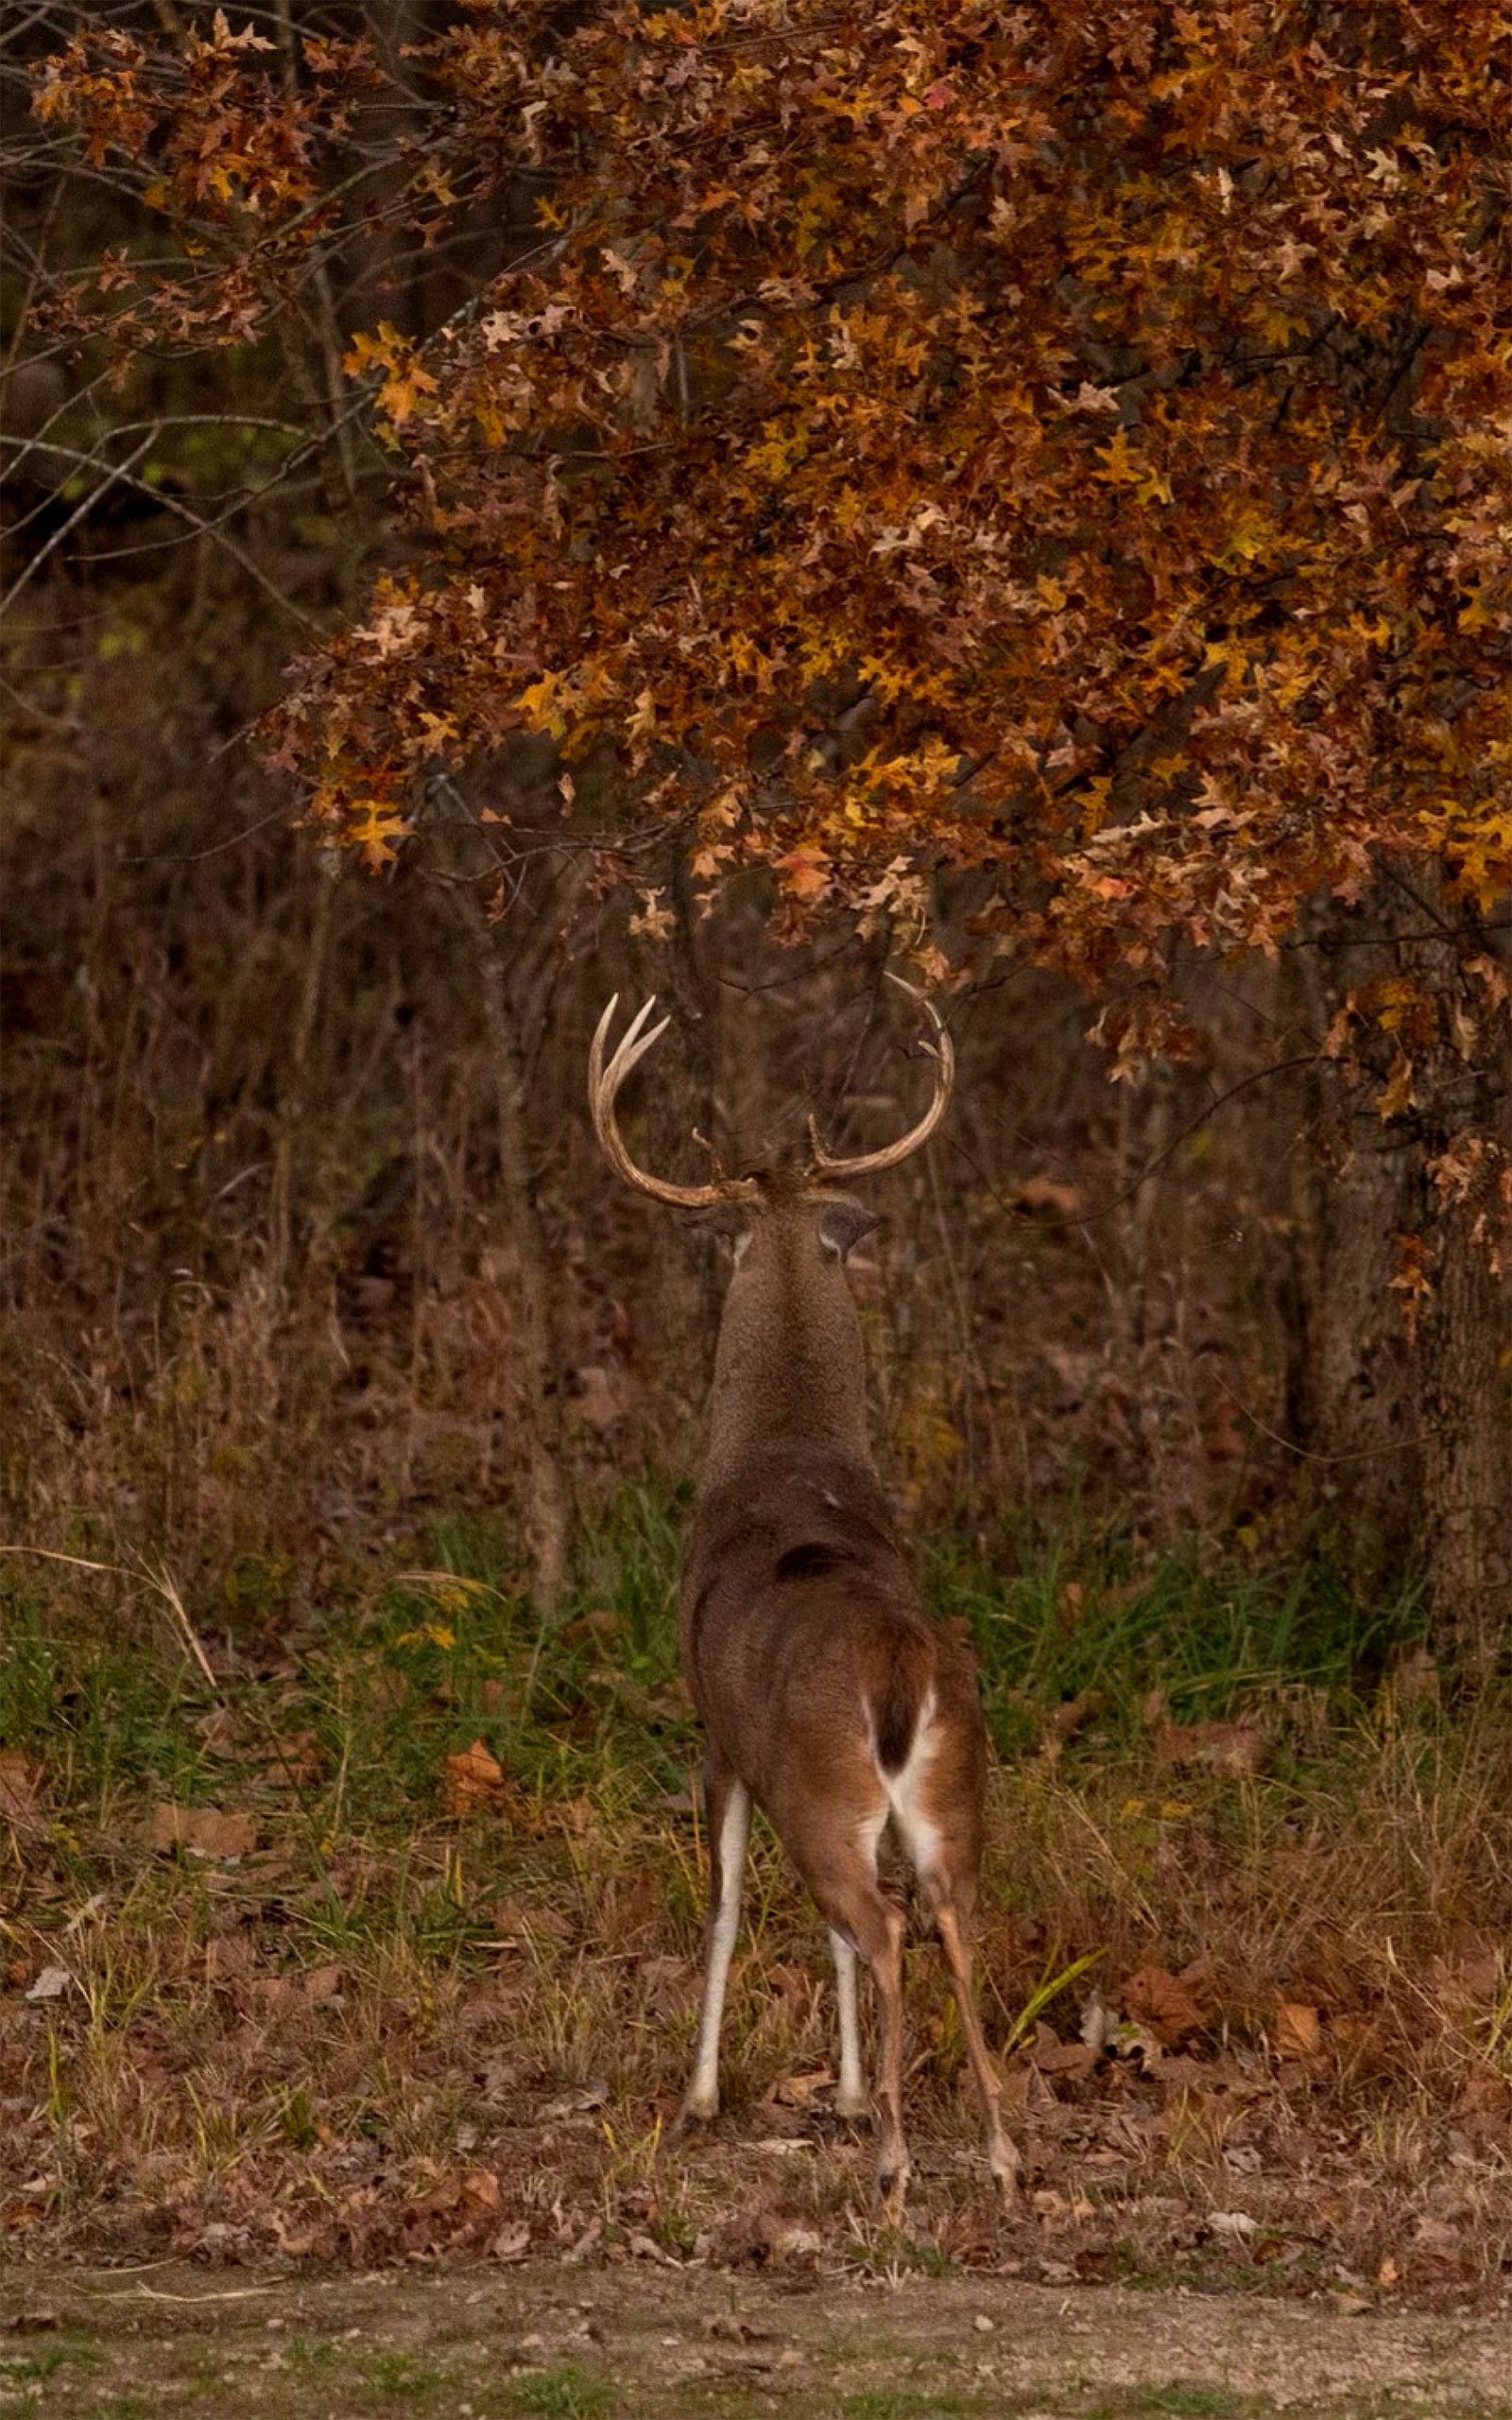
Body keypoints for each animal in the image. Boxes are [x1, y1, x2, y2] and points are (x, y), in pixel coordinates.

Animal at [589, 982, 1019, 2213]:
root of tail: (897, 1671)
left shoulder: (720, 1738)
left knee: (880, 1926)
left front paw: (700, 2096)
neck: (785, 1447)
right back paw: (999, 2148)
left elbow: (726, 1909)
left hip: (822, 1791)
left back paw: (900, 2159)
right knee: (951, 1918)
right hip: (950, 1792)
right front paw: (846, 2091)